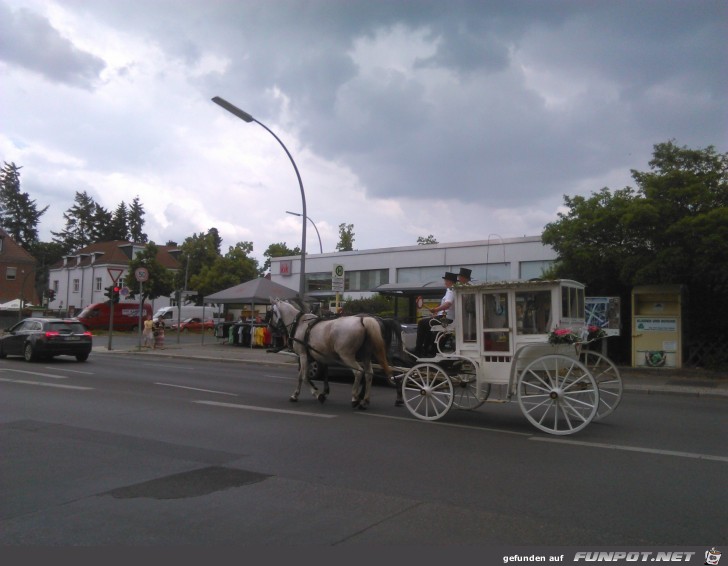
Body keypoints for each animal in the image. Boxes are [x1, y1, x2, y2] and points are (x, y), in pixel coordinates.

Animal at [268, 300, 400, 410]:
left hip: (346, 356)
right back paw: (365, 401)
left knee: (358, 372)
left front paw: (318, 394)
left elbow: (304, 377)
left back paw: (355, 398)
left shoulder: (303, 355)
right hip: (365, 356)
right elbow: (304, 376)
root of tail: (362, 320)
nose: (269, 328)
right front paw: (296, 395)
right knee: (369, 374)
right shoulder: (314, 357)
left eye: (269, 312)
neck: (299, 324)